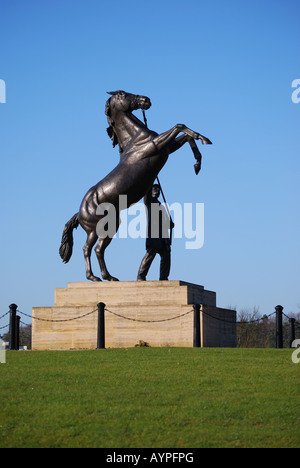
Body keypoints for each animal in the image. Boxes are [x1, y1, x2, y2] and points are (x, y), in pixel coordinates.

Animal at [59, 91, 211, 282]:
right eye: (123, 94)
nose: (146, 100)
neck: (135, 139)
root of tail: (79, 213)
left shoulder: (168, 148)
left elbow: (185, 136)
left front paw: (198, 163)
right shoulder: (157, 145)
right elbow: (179, 126)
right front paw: (205, 140)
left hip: (106, 227)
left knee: (96, 249)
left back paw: (106, 277)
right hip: (98, 228)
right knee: (90, 249)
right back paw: (97, 277)